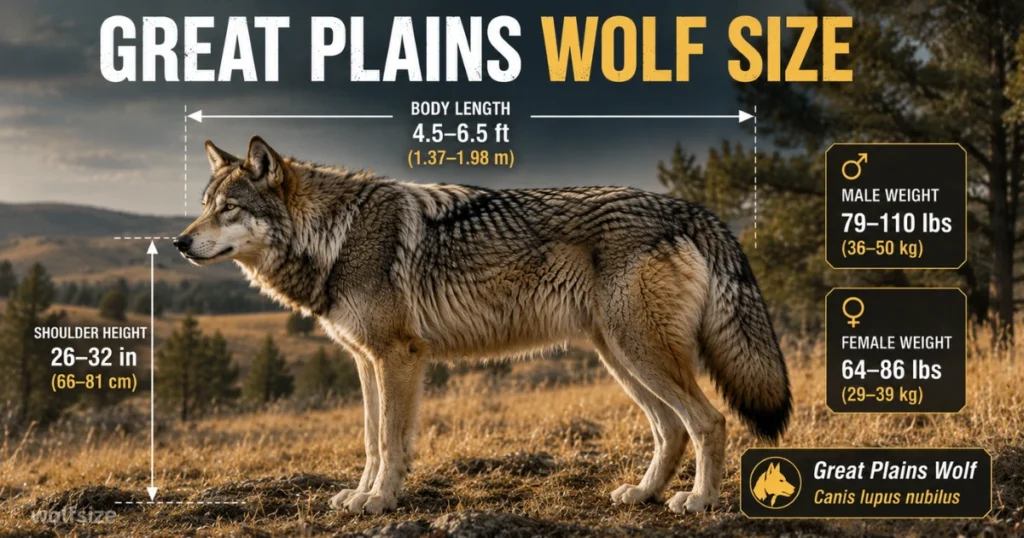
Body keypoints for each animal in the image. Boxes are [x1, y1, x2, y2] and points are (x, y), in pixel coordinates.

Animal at [175, 136, 792, 515]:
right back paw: (642, 494)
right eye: (204, 205)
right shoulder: (365, 360)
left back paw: (699, 502)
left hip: (641, 354)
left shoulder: (398, 357)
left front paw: (380, 502)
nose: (179, 242)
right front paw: (359, 496)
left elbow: (391, 441)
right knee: (670, 429)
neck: (334, 234)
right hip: (621, 358)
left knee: (708, 422)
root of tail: (690, 209)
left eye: (229, 209)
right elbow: (372, 440)